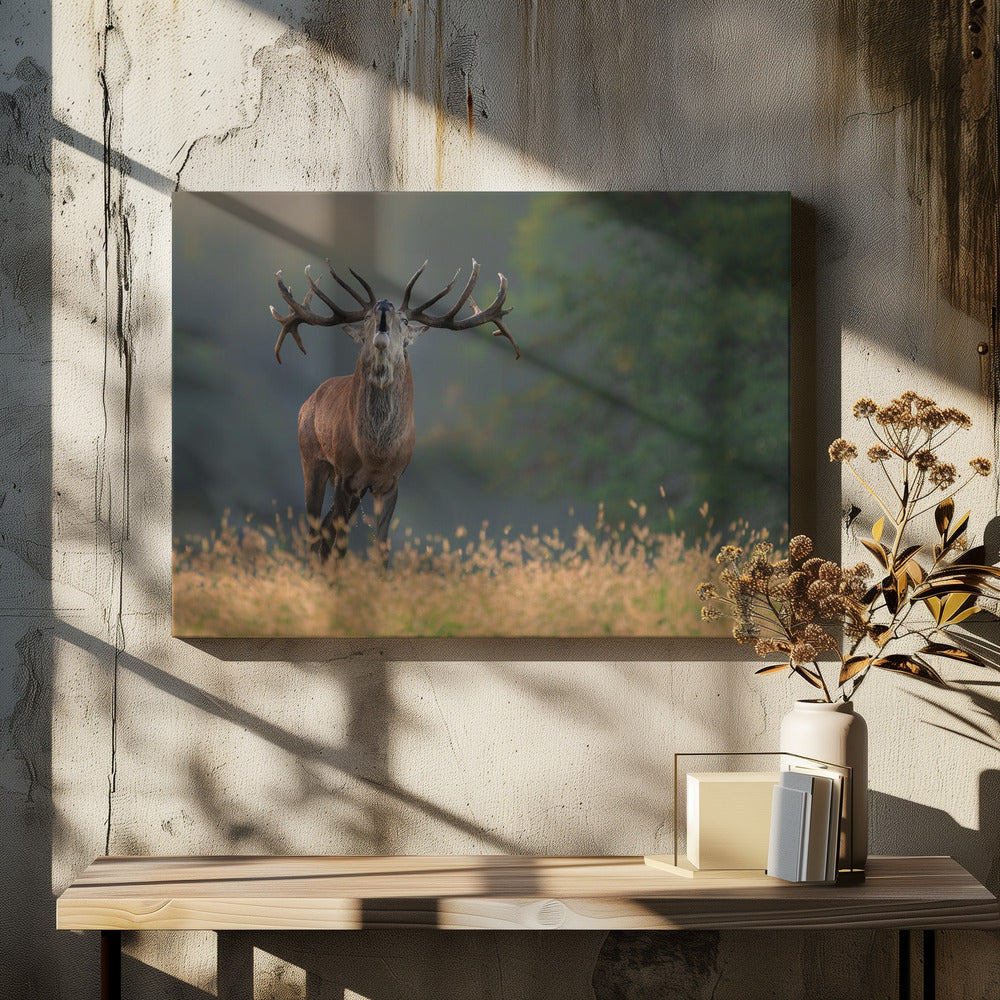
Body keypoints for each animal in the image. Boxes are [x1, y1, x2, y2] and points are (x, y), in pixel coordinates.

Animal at [269, 259, 518, 563]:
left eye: (406, 320)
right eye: (366, 317)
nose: (385, 305)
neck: (375, 453)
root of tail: (308, 401)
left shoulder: (391, 481)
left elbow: (382, 549)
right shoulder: (344, 473)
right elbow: (341, 545)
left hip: (354, 487)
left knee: (325, 532)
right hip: (311, 459)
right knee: (316, 532)